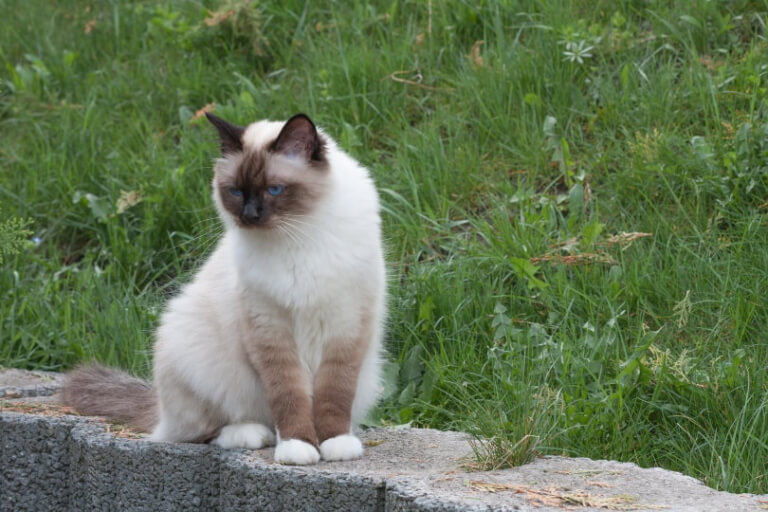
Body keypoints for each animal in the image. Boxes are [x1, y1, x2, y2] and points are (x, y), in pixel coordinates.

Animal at [60, 114, 388, 466]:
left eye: (274, 189)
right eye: (235, 192)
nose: (249, 215)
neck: (299, 234)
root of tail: (160, 408)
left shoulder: (347, 323)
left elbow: (334, 393)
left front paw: (335, 443)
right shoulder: (269, 329)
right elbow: (288, 395)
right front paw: (298, 448)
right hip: (195, 351)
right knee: (199, 432)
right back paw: (255, 434)